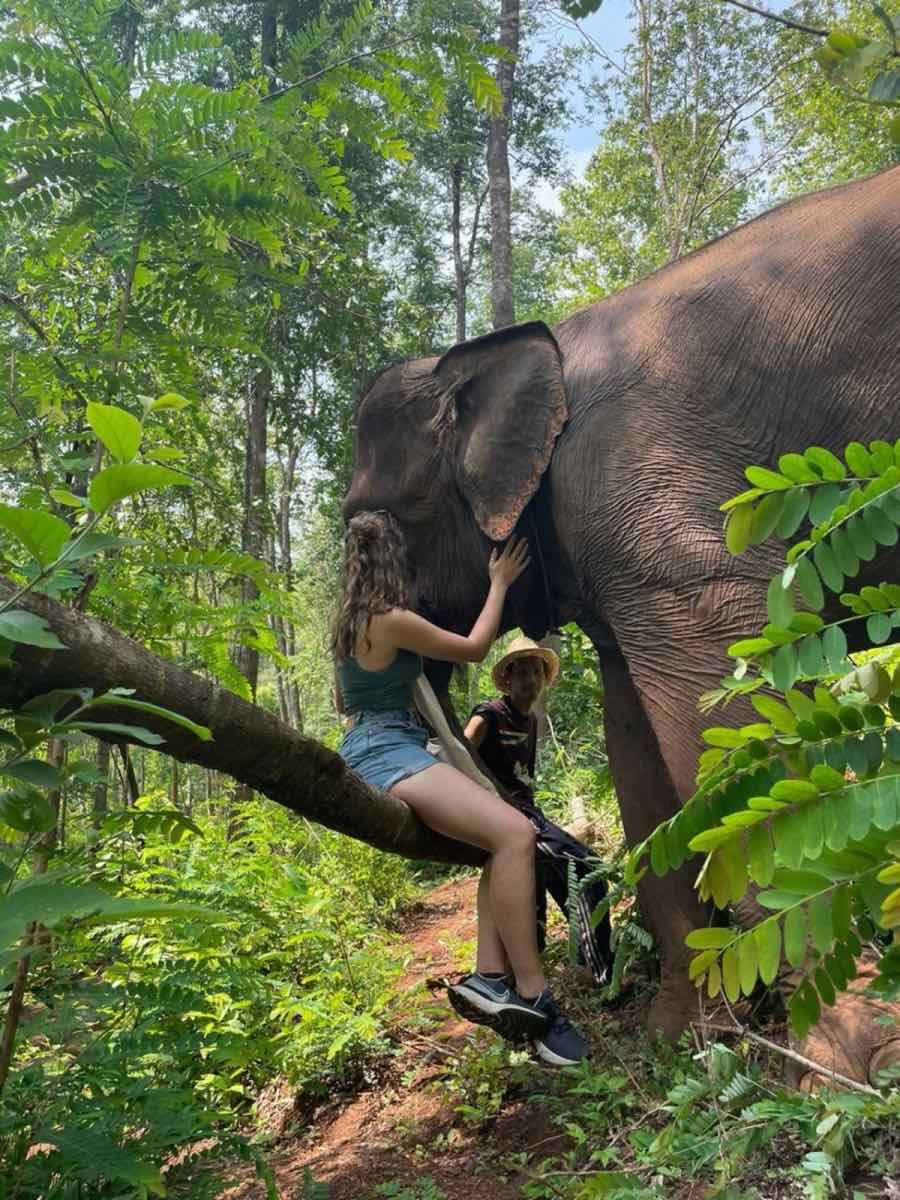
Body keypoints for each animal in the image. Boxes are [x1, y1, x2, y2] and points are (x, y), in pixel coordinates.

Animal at [343, 164, 900, 1081]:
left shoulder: (660, 501)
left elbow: (730, 705)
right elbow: (635, 744)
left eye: (366, 517)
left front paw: (848, 1059)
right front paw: (688, 1037)